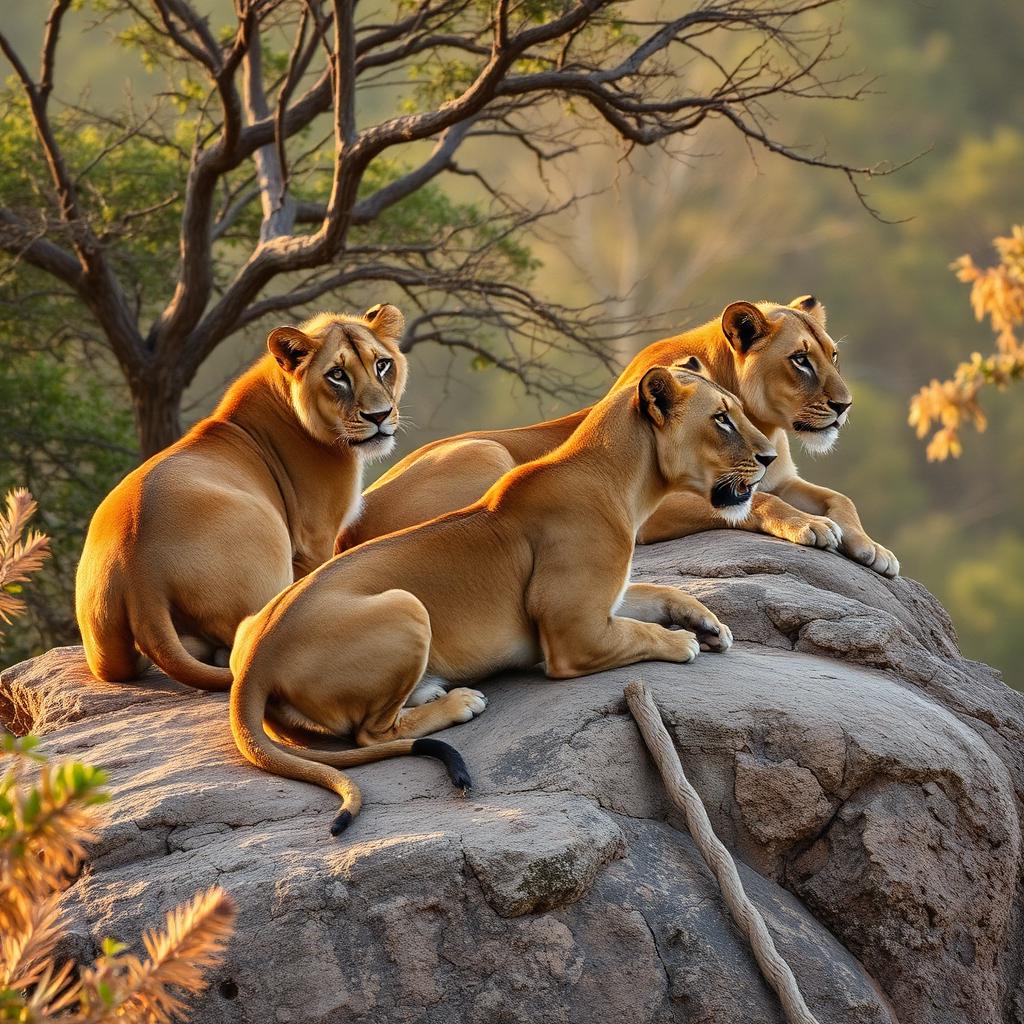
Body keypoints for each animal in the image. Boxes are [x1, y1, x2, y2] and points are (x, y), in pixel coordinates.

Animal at [76, 304, 408, 691]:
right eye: (337, 375)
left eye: (382, 364)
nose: (379, 416)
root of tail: (141, 581)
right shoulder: (315, 538)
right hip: (267, 534)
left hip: (106, 651)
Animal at [228, 366, 777, 834]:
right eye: (722, 417)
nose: (770, 457)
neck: (626, 483)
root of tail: (255, 666)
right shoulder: (573, 634)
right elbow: (643, 632)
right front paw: (684, 641)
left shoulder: (603, 604)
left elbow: (657, 592)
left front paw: (709, 623)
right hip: (407, 605)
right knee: (373, 733)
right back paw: (458, 702)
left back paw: (430, 689)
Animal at [338, 296, 898, 577]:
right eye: (800, 360)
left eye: (833, 355)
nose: (846, 406)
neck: (767, 425)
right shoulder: (655, 509)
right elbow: (758, 503)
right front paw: (812, 527)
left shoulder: (779, 476)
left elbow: (839, 498)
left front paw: (872, 548)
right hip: (486, 450)